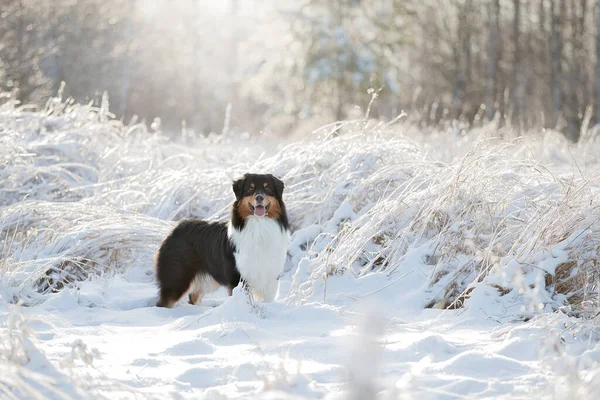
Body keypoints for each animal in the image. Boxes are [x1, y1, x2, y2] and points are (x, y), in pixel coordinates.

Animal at [155, 173, 290, 308]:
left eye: (268, 189)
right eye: (250, 189)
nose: (259, 197)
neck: (259, 225)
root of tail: (177, 228)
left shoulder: (271, 277)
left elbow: (268, 301)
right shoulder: (238, 278)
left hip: (207, 281)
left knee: (194, 297)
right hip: (177, 279)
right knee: (164, 302)